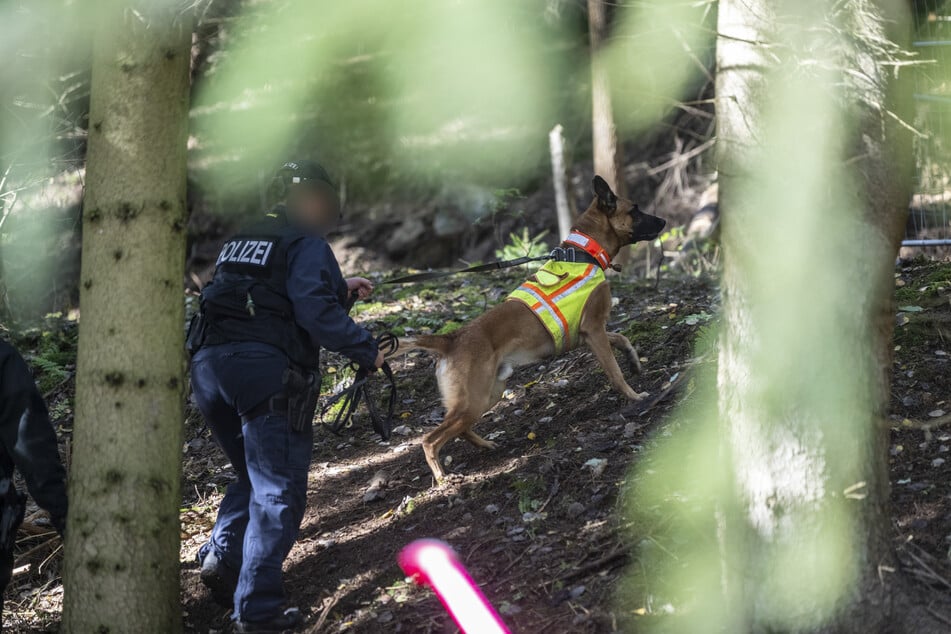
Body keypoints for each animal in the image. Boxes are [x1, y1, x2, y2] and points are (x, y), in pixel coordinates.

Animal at [398, 177, 664, 478]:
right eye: (635, 210)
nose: (664, 221)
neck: (583, 252)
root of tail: (451, 339)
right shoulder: (594, 330)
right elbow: (615, 372)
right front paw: (634, 396)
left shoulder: (588, 334)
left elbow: (621, 338)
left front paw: (634, 361)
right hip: (474, 400)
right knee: (430, 439)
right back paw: (442, 478)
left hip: (489, 394)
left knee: (460, 429)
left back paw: (486, 445)